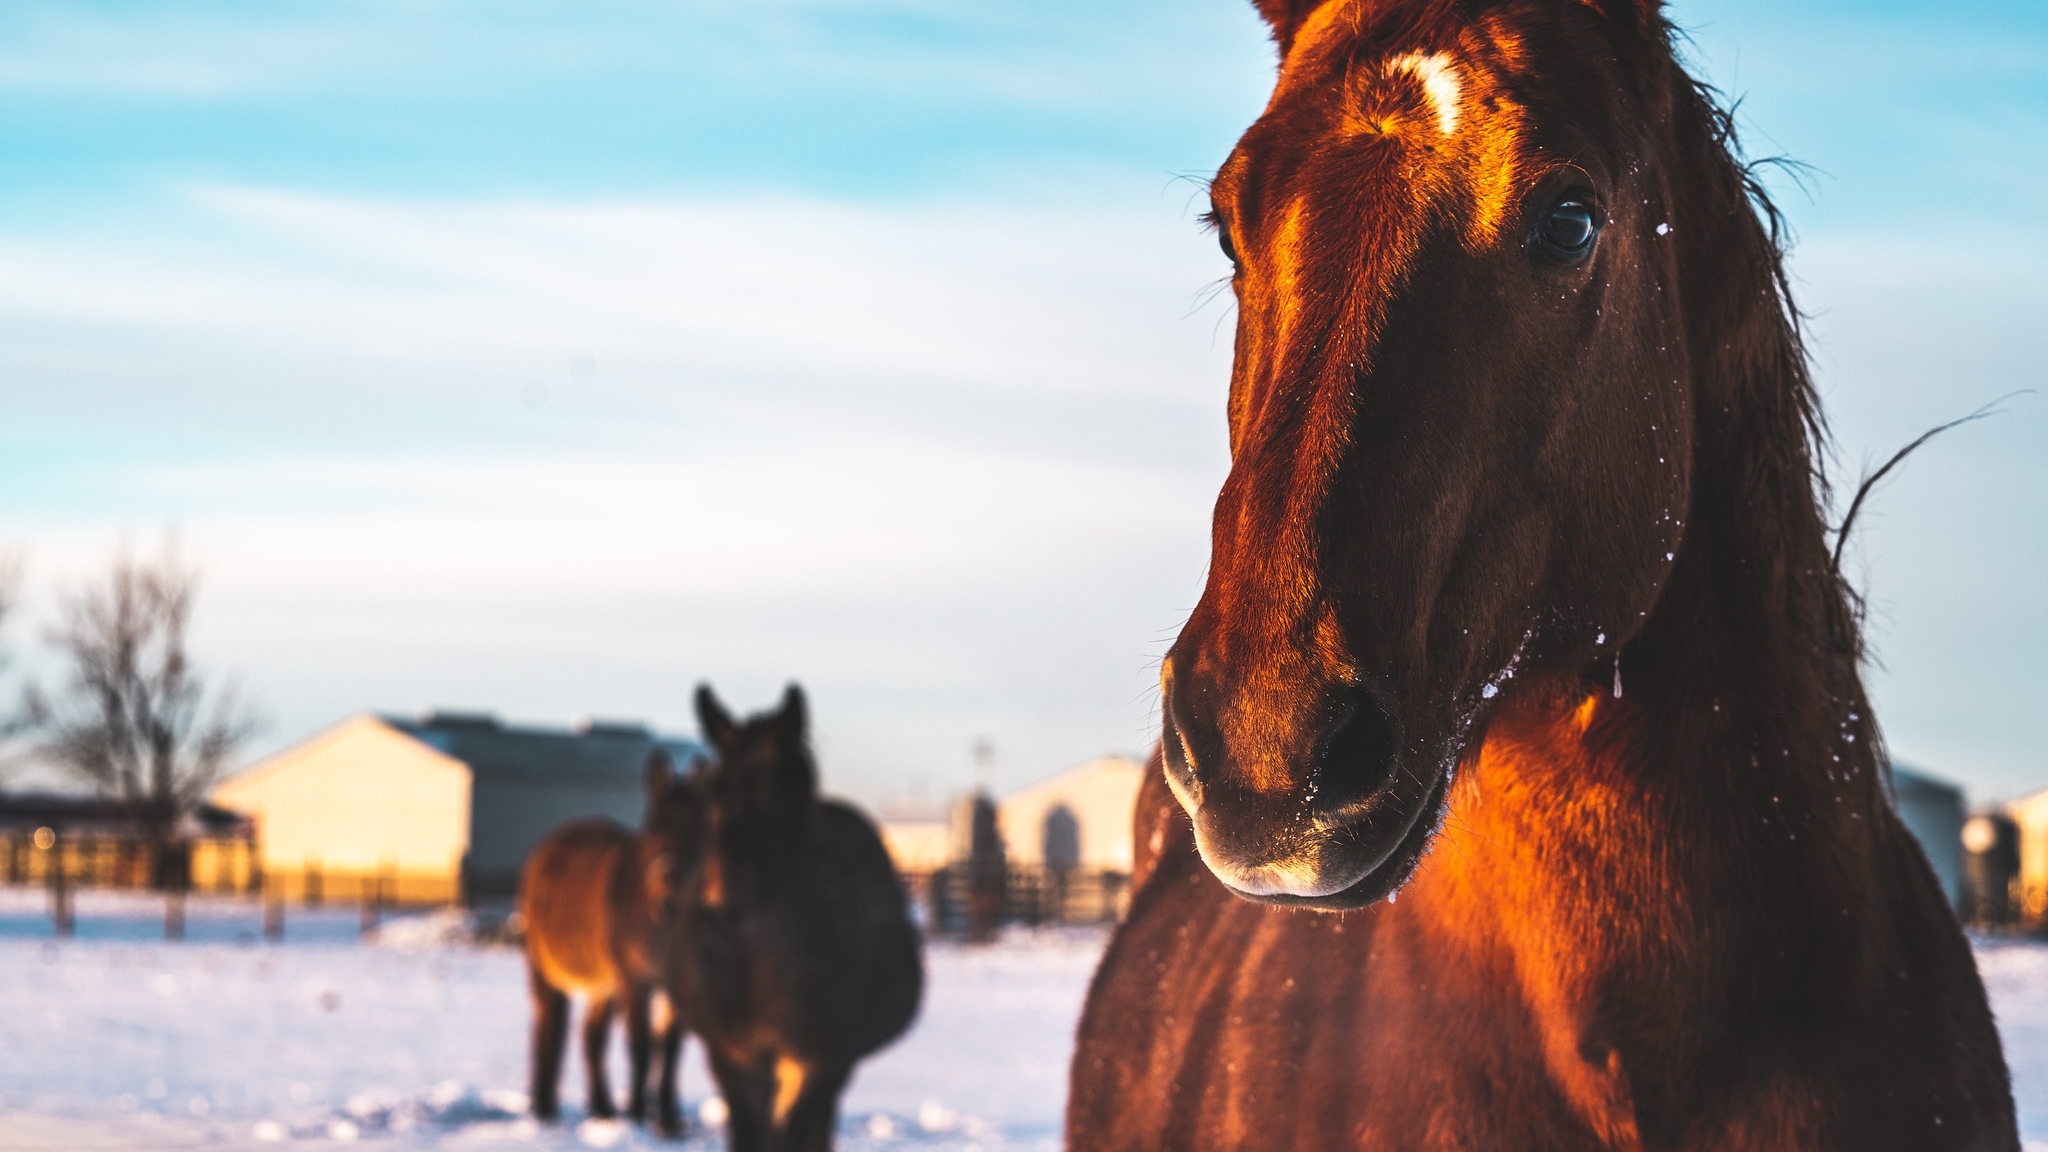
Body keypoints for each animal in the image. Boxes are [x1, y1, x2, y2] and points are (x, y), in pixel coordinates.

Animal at [520, 746, 688, 1131]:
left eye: (699, 832)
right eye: (653, 829)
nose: (669, 903)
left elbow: (669, 1048)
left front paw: (667, 1120)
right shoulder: (636, 983)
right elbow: (641, 1046)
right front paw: (639, 1115)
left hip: (602, 983)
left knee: (590, 1036)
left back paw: (602, 1109)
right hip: (545, 971)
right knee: (548, 1030)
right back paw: (545, 1108)